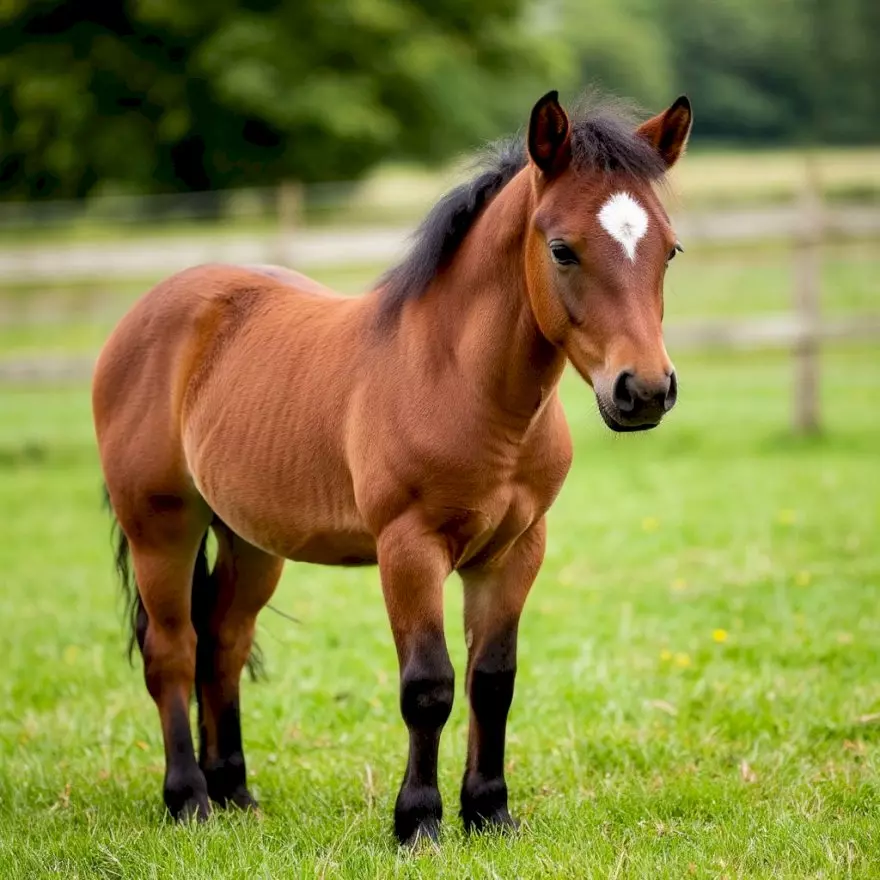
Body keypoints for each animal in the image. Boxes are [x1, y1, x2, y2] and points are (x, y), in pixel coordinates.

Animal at [93, 90, 692, 844]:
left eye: (669, 249)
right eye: (562, 249)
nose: (644, 390)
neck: (462, 382)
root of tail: (148, 309)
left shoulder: (515, 550)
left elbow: (493, 679)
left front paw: (489, 811)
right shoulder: (409, 548)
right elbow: (428, 684)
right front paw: (420, 821)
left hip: (251, 540)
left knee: (222, 642)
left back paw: (235, 794)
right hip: (161, 528)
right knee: (171, 648)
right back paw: (189, 800)